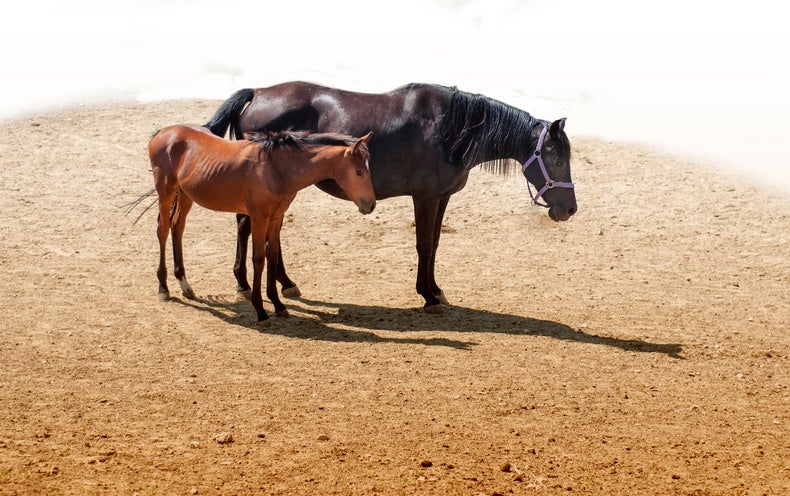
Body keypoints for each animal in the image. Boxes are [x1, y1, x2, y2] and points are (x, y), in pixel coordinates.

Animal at [148, 124, 375, 324]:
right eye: (358, 172)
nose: (370, 205)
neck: (275, 168)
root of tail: (163, 132)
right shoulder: (258, 217)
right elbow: (258, 258)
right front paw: (260, 310)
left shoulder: (275, 217)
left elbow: (272, 255)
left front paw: (278, 304)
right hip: (166, 192)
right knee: (163, 230)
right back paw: (163, 288)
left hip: (185, 194)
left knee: (177, 227)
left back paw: (184, 284)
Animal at [205, 81, 577, 313]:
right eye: (558, 159)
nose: (570, 209)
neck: (449, 129)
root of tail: (258, 93)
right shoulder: (425, 197)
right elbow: (424, 245)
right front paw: (427, 296)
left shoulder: (442, 197)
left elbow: (435, 244)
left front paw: (436, 289)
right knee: (250, 226)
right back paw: (250, 283)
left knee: (266, 231)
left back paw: (282, 283)